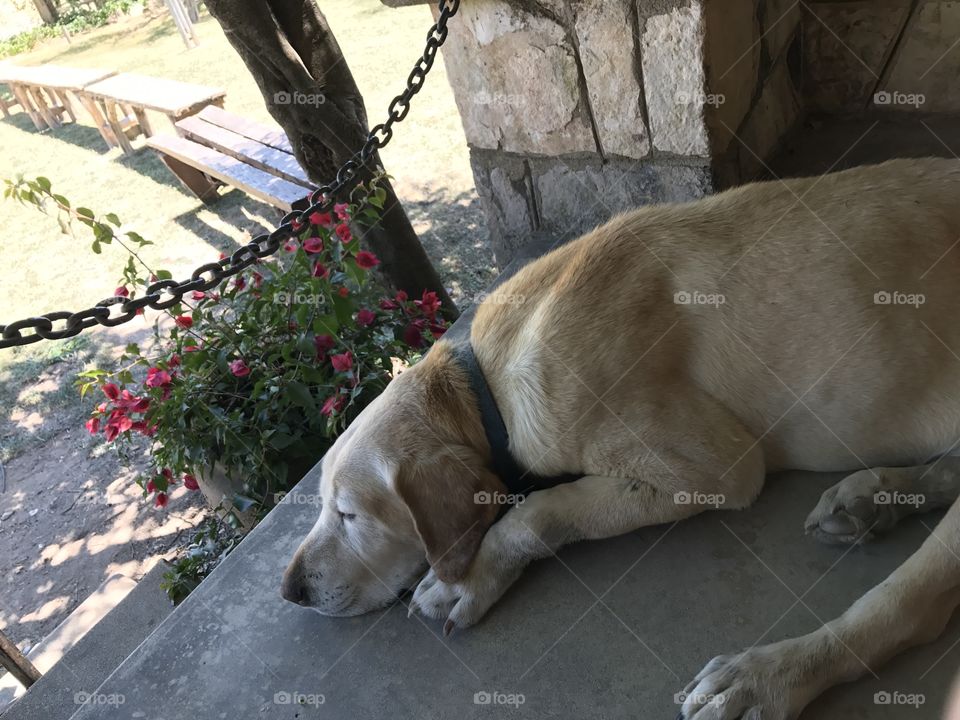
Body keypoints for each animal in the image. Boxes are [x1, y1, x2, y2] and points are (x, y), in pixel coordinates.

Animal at [282, 159, 960, 720]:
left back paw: (766, 676)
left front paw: (468, 576)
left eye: (349, 514)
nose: (291, 593)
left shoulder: (715, 469)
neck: (484, 384)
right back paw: (870, 499)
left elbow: (540, 510)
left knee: (906, 608)